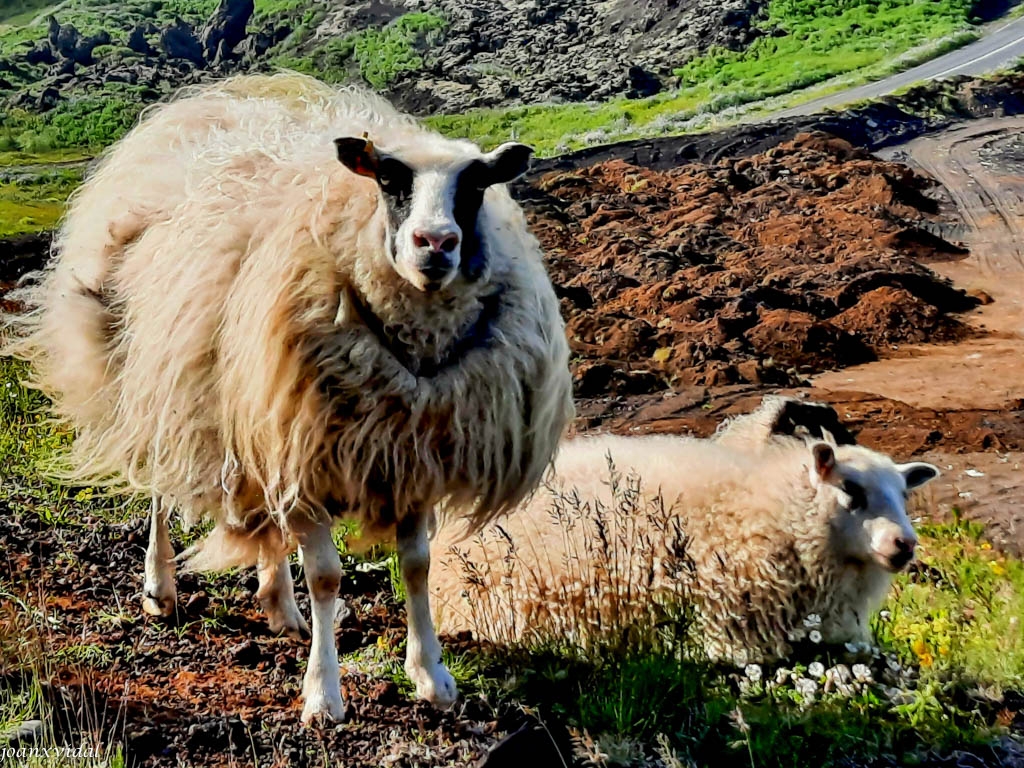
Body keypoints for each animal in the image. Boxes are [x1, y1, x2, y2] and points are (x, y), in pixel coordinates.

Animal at [2, 72, 577, 720]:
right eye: (388, 179)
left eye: (477, 183)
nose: (435, 243)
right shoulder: (309, 457)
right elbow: (326, 577)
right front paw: (323, 694)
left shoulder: (407, 454)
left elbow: (417, 567)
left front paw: (431, 675)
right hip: (162, 380)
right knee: (159, 493)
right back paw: (160, 587)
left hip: (256, 413)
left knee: (262, 518)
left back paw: (278, 601)